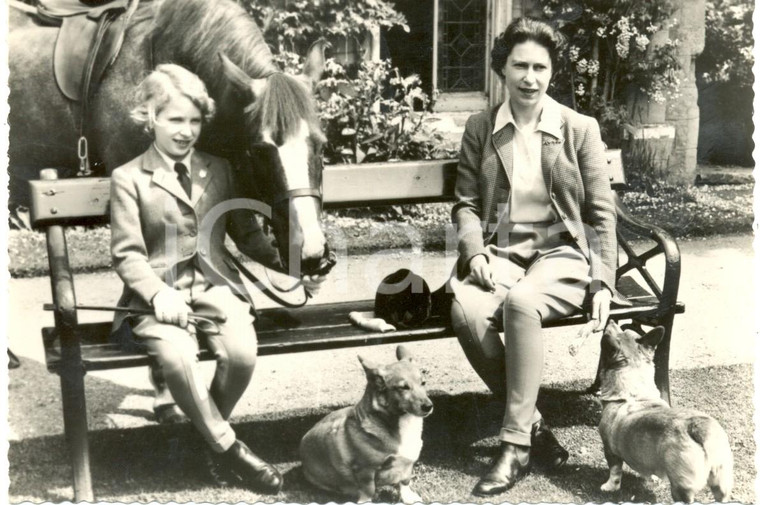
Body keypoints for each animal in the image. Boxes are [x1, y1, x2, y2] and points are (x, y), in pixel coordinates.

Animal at [302, 344, 434, 502]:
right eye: (403, 387)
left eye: (423, 383)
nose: (428, 406)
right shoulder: (365, 469)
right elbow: (368, 490)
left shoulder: (407, 464)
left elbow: (405, 481)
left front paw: (409, 497)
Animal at [596, 320, 732, 502]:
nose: (610, 321)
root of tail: (699, 429)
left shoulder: (610, 451)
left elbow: (615, 472)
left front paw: (609, 487)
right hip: (721, 481)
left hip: (680, 488)